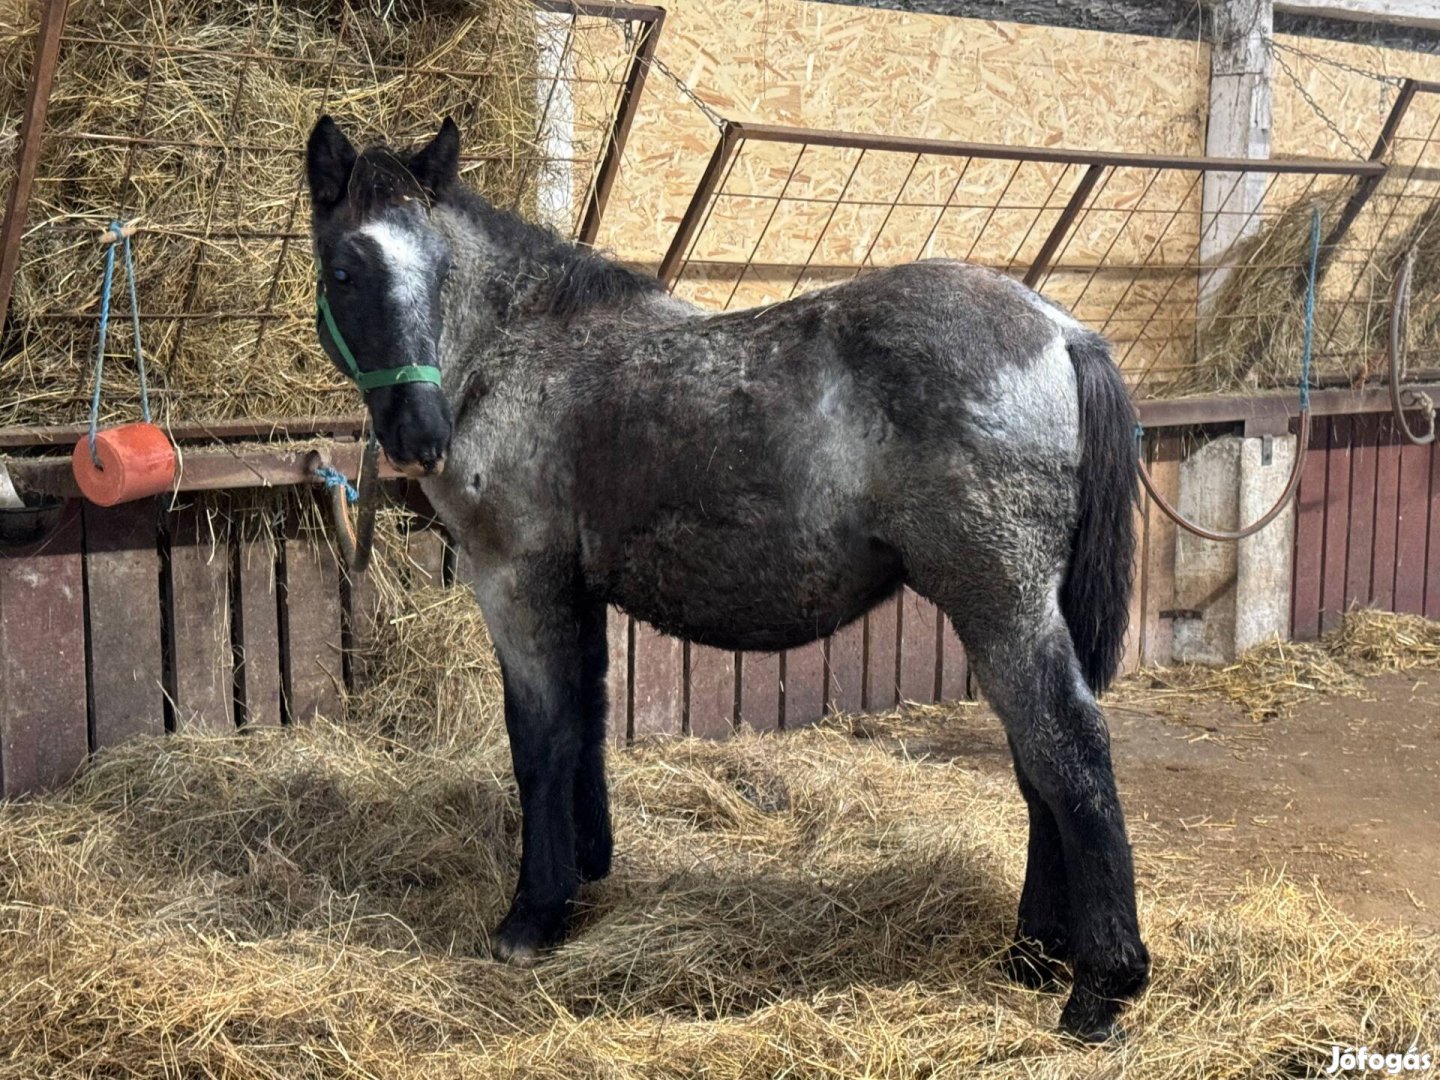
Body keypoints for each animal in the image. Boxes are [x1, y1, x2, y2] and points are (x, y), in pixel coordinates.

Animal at [309, 116, 1152, 1042]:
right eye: (347, 271)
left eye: (436, 272)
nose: (421, 437)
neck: (520, 347)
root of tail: (1060, 330)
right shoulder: (577, 593)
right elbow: (587, 724)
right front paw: (588, 873)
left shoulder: (518, 586)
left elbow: (541, 742)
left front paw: (533, 914)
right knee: (1039, 764)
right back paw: (1035, 954)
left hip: (998, 602)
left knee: (1069, 748)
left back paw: (1101, 986)